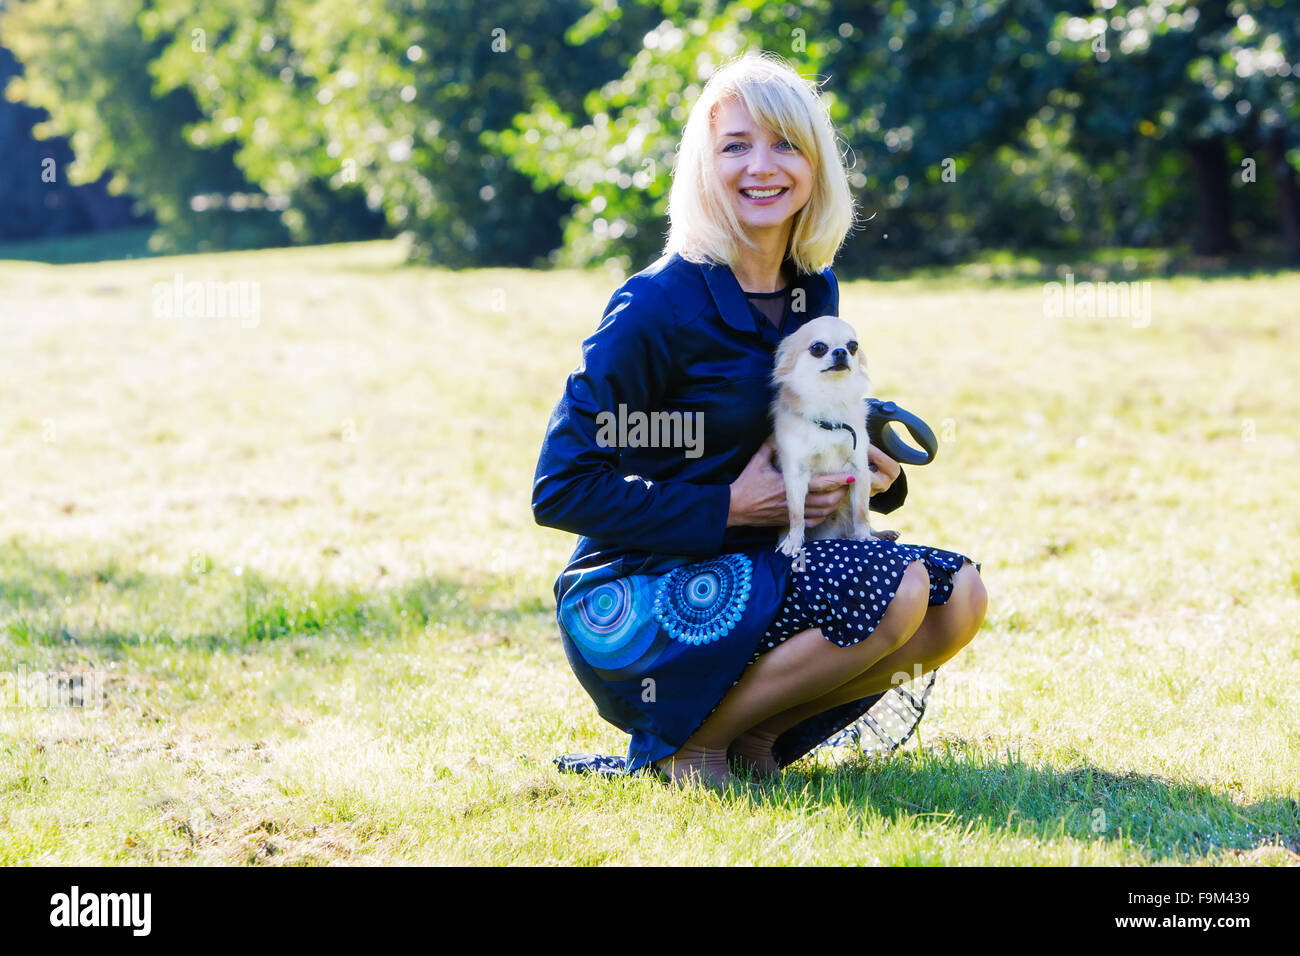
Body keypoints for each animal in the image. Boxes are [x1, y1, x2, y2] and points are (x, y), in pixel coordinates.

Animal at [764, 314, 878, 556]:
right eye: (818, 348)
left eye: (853, 346)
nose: (841, 352)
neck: (829, 400)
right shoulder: (795, 475)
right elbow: (796, 514)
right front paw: (793, 541)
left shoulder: (859, 470)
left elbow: (861, 510)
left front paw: (864, 536)